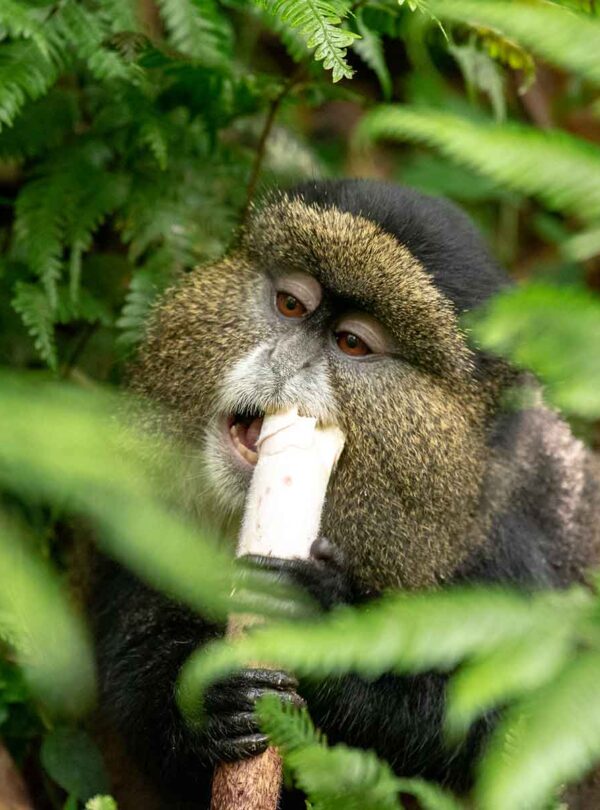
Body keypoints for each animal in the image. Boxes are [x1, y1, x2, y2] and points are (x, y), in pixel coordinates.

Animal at [90, 179, 600, 809]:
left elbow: (508, 737)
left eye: (352, 343)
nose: (285, 361)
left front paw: (319, 625)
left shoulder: (516, 564)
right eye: (291, 306)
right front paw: (209, 702)